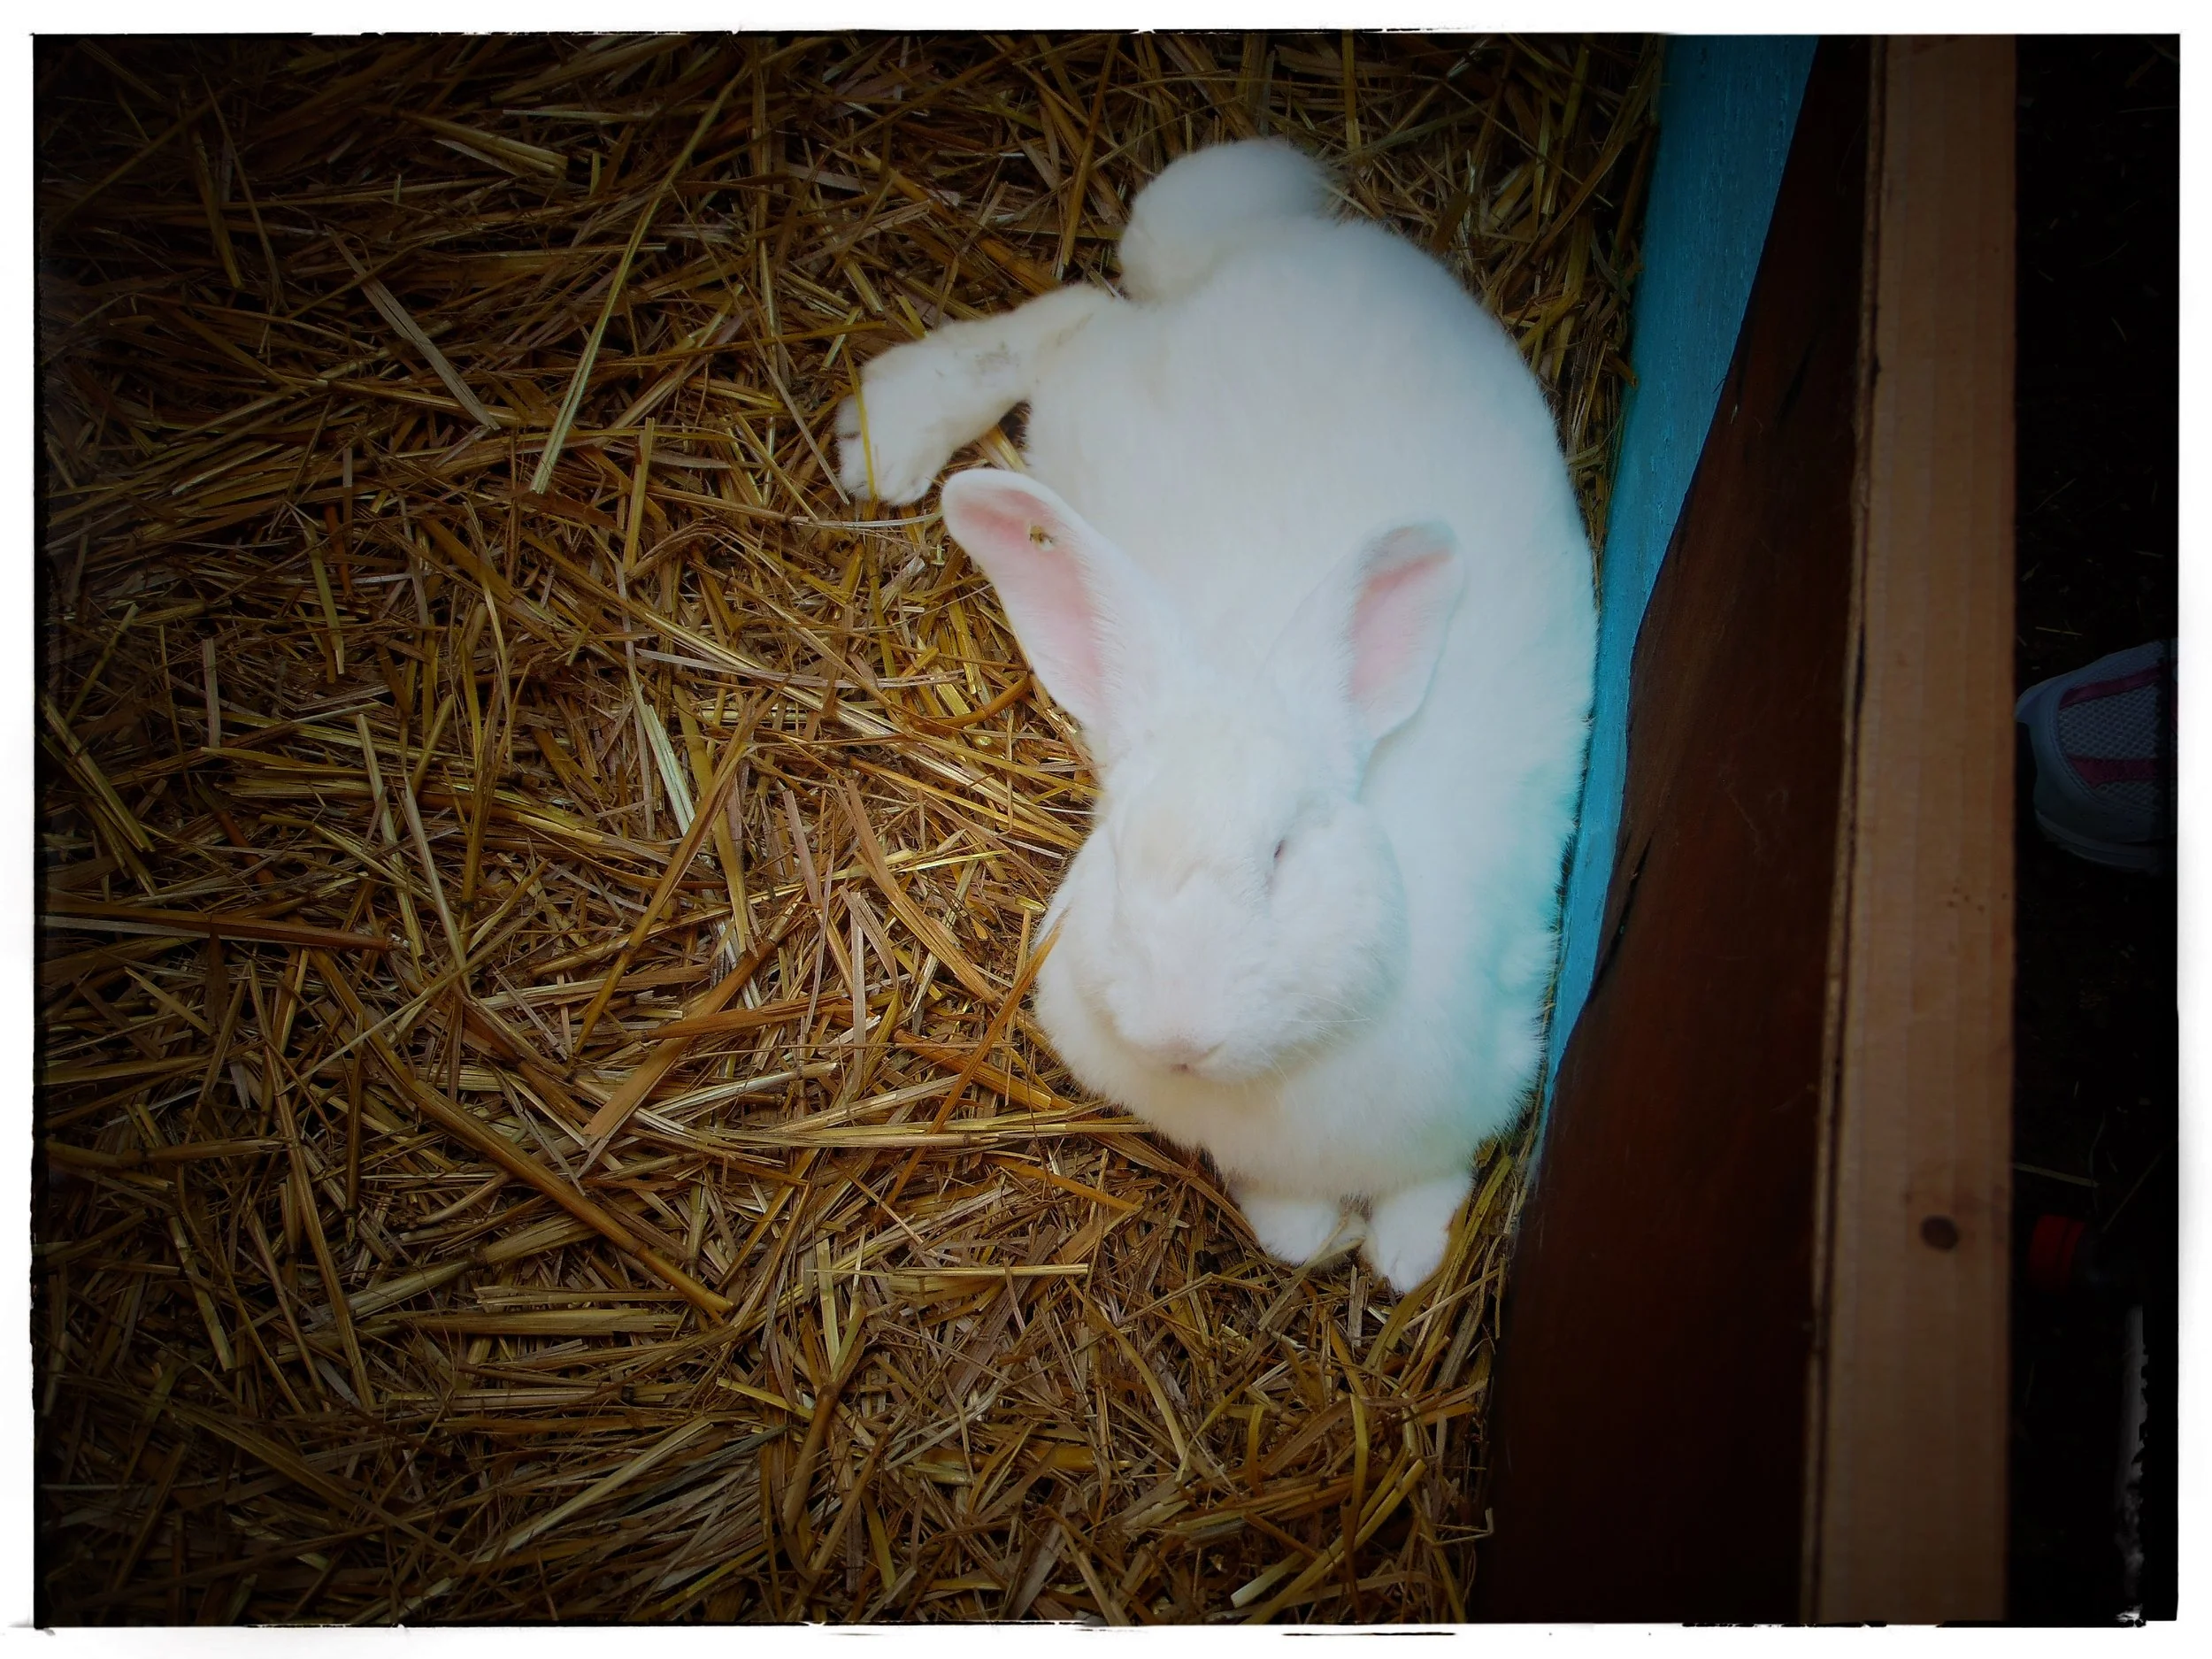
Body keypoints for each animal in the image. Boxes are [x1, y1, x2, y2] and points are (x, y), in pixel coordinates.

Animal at [836, 138, 1595, 1293]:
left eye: (1282, 854)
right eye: (1116, 851)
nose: (1179, 1034)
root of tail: (1249, 248)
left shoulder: (1493, 1065)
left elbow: (1427, 1188)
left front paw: (1404, 1259)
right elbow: (1286, 1211)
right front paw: (1310, 1238)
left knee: (1087, 308)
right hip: (1091, 406)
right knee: (1077, 312)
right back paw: (887, 432)